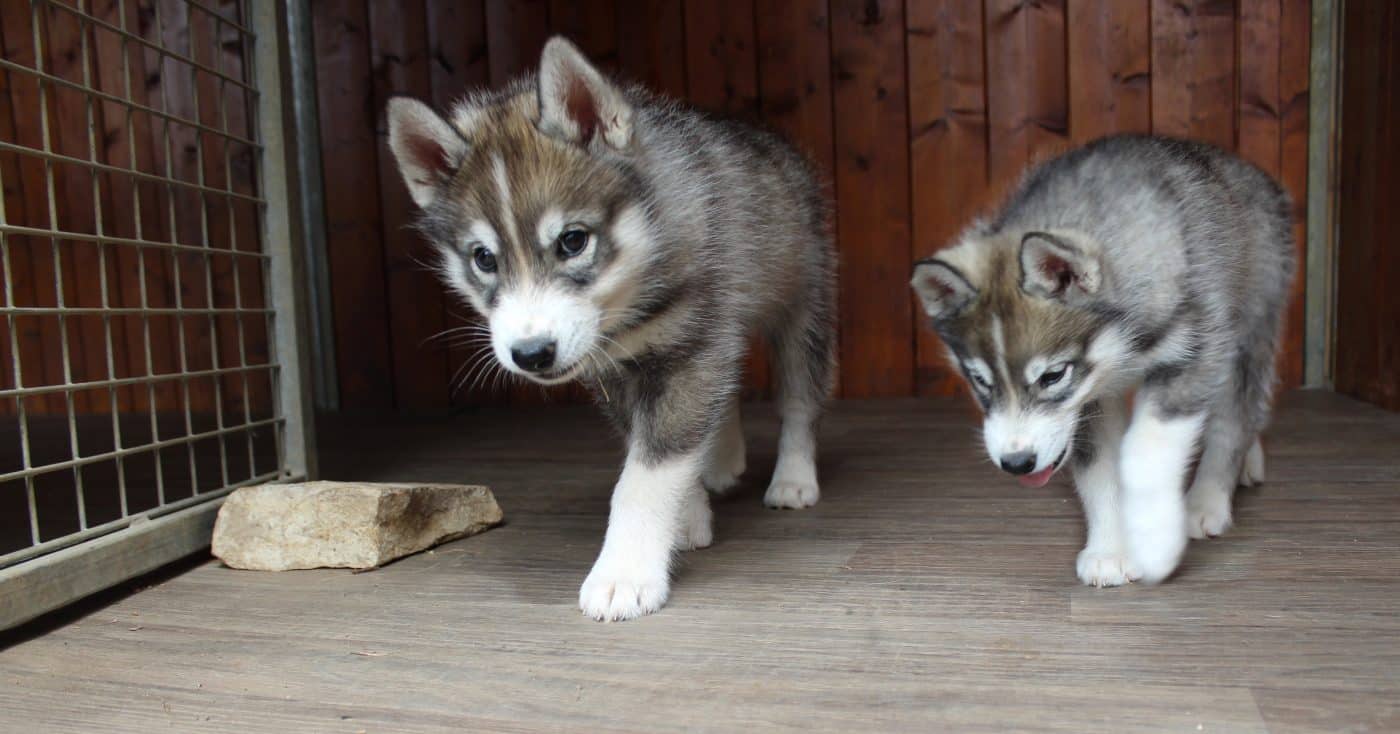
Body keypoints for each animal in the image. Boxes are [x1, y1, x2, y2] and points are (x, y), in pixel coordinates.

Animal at [386, 37, 828, 616]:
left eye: (573, 241)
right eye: (483, 258)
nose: (531, 353)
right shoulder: (620, 370)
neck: (632, 299)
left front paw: (625, 572)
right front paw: (686, 517)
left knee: (799, 397)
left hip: (802, 302)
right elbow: (650, 441)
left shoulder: (693, 345)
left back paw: (794, 478)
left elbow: (646, 472)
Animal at [912, 134, 1293, 588]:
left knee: (1234, 414)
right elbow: (1100, 470)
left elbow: (1145, 453)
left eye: (1052, 376)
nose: (1017, 464)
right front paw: (1110, 550)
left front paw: (1154, 544)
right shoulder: (1087, 404)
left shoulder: (1194, 354)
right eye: (980, 381)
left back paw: (1208, 500)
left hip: (1248, 329)